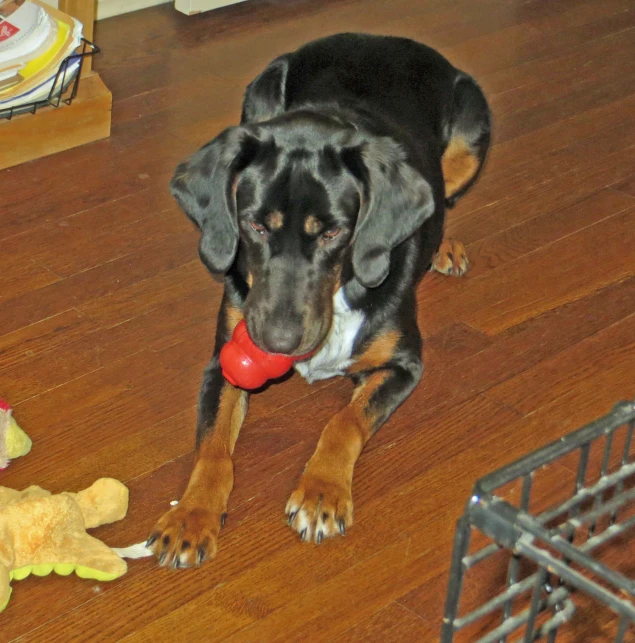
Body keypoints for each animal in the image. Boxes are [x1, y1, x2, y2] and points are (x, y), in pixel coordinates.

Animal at [148, 32, 492, 568]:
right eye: (254, 225)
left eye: (333, 233)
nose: (279, 340)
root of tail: (385, 38)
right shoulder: (221, 363)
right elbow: (213, 447)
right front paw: (193, 514)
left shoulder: (403, 363)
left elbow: (345, 420)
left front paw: (322, 491)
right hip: (261, 88)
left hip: (472, 126)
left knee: (446, 194)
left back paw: (445, 244)